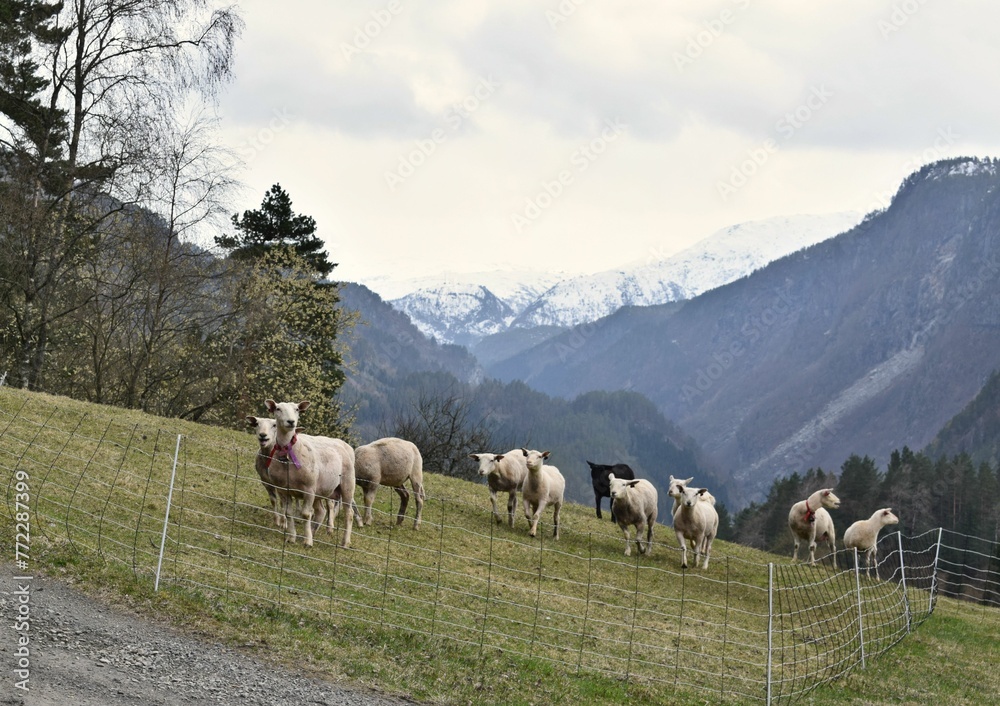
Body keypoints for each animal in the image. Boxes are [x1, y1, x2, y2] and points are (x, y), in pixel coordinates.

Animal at [266, 398, 360, 548]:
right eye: (278, 409)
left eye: (297, 409)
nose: (291, 422)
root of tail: (341, 444)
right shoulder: (283, 490)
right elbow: (288, 513)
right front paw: (292, 538)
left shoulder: (309, 489)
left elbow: (305, 514)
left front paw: (308, 542)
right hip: (320, 490)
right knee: (321, 511)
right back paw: (312, 531)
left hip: (347, 485)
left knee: (349, 513)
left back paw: (345, 542)